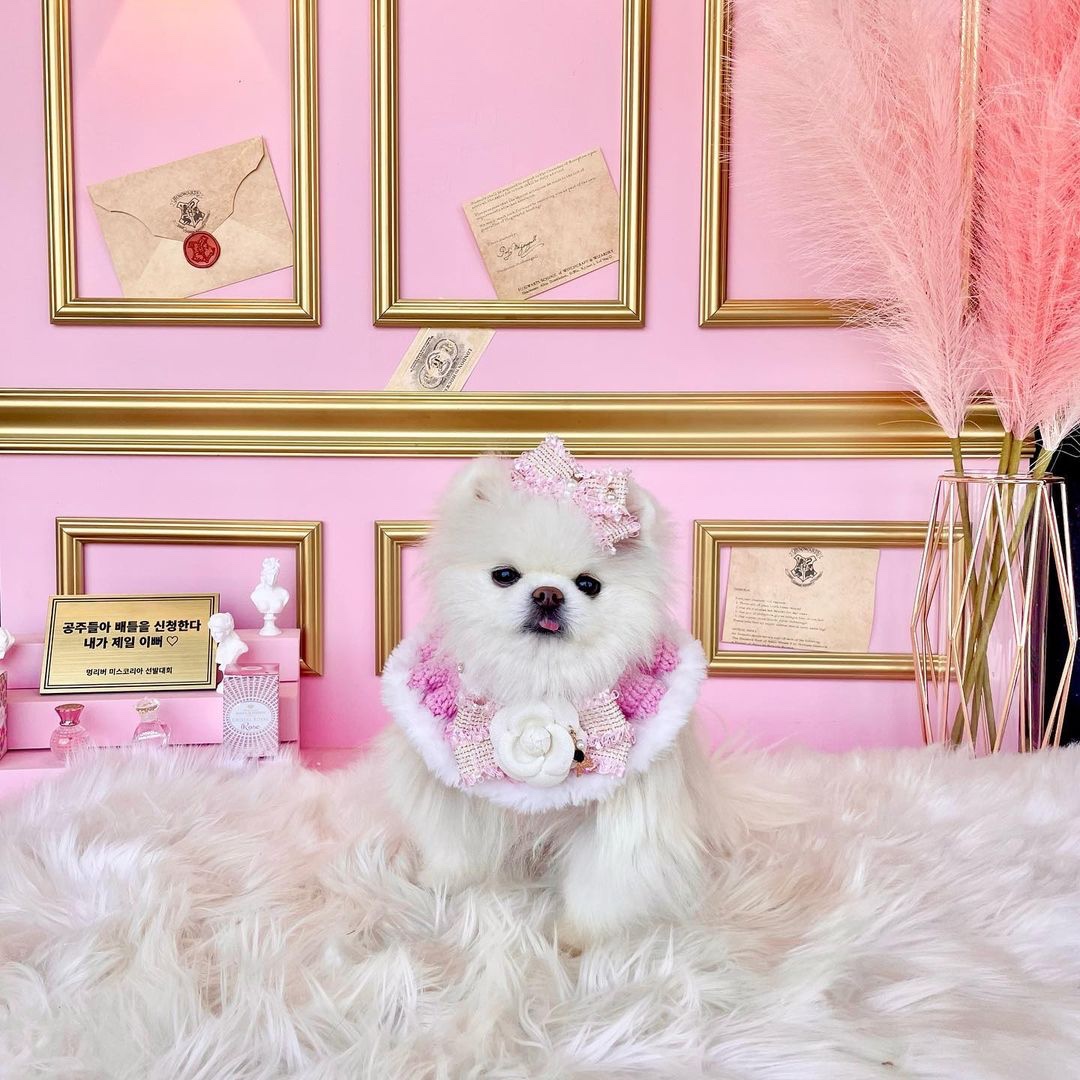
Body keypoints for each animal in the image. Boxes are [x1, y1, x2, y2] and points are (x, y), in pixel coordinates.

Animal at [380, 438, 712, 946]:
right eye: (505, 575)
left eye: (589, 585)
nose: (548, 594)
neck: (540, 682)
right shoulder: (456, 793)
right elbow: (457, 845)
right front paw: (444, 885)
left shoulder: (620, 816)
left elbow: (605, 878)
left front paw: (577, 938)